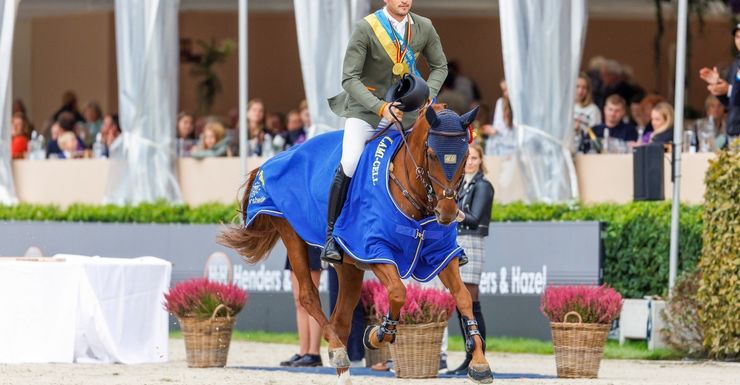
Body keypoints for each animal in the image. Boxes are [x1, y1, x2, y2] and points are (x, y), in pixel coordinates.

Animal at [218, 103, 492, 382]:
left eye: (466, 155)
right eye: (431, 154)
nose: (447, 213)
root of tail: (275, 160)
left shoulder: (440, 254)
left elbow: (463, 297)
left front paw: (479, 363)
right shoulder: (375, 248)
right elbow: (397, 292)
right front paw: (378, 334)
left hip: (348, 266)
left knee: (340, 318)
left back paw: (343, 368)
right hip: (291, 233)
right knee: (308, 296)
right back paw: (338, 350)